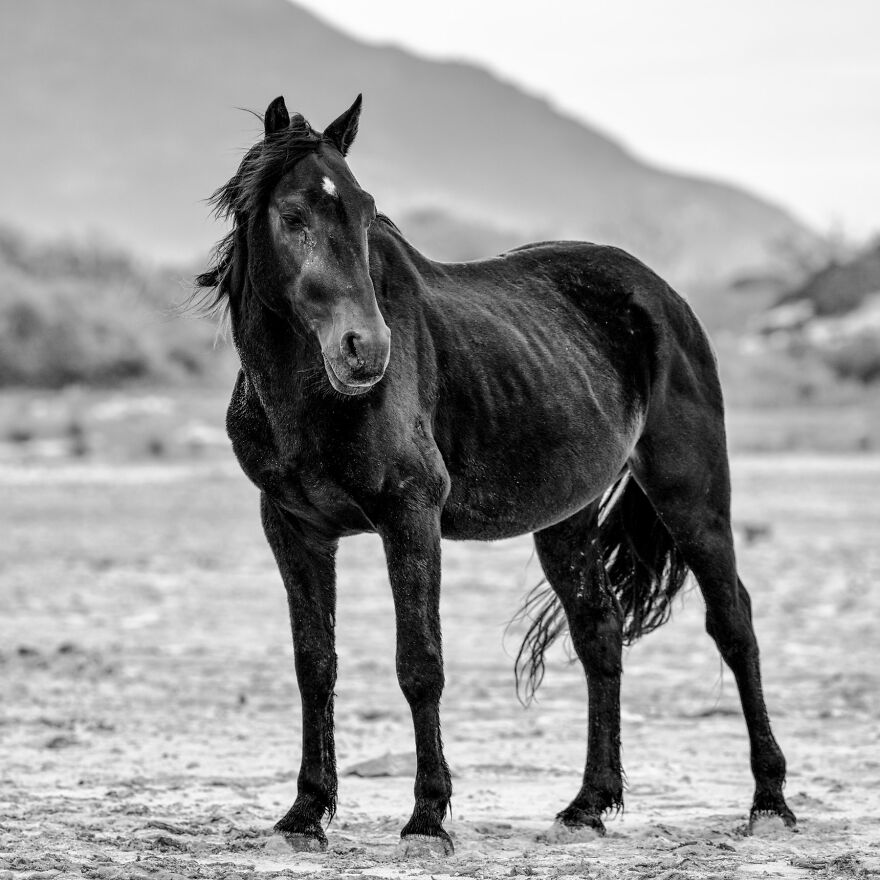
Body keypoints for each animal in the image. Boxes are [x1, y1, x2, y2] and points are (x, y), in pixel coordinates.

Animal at [195, 94, 796, 856]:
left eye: (365, 210)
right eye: (294, 214)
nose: (366, 351)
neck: (309, 400)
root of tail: (662, 295)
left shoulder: (411, 517)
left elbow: (420, 665)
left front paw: (426, 819)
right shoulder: (294, 529)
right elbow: (314, 665)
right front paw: (305, 813)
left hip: (692, 497)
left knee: (734, 623)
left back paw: (770, 802)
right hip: (566, 522)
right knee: (599, 633)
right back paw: (587, 806)